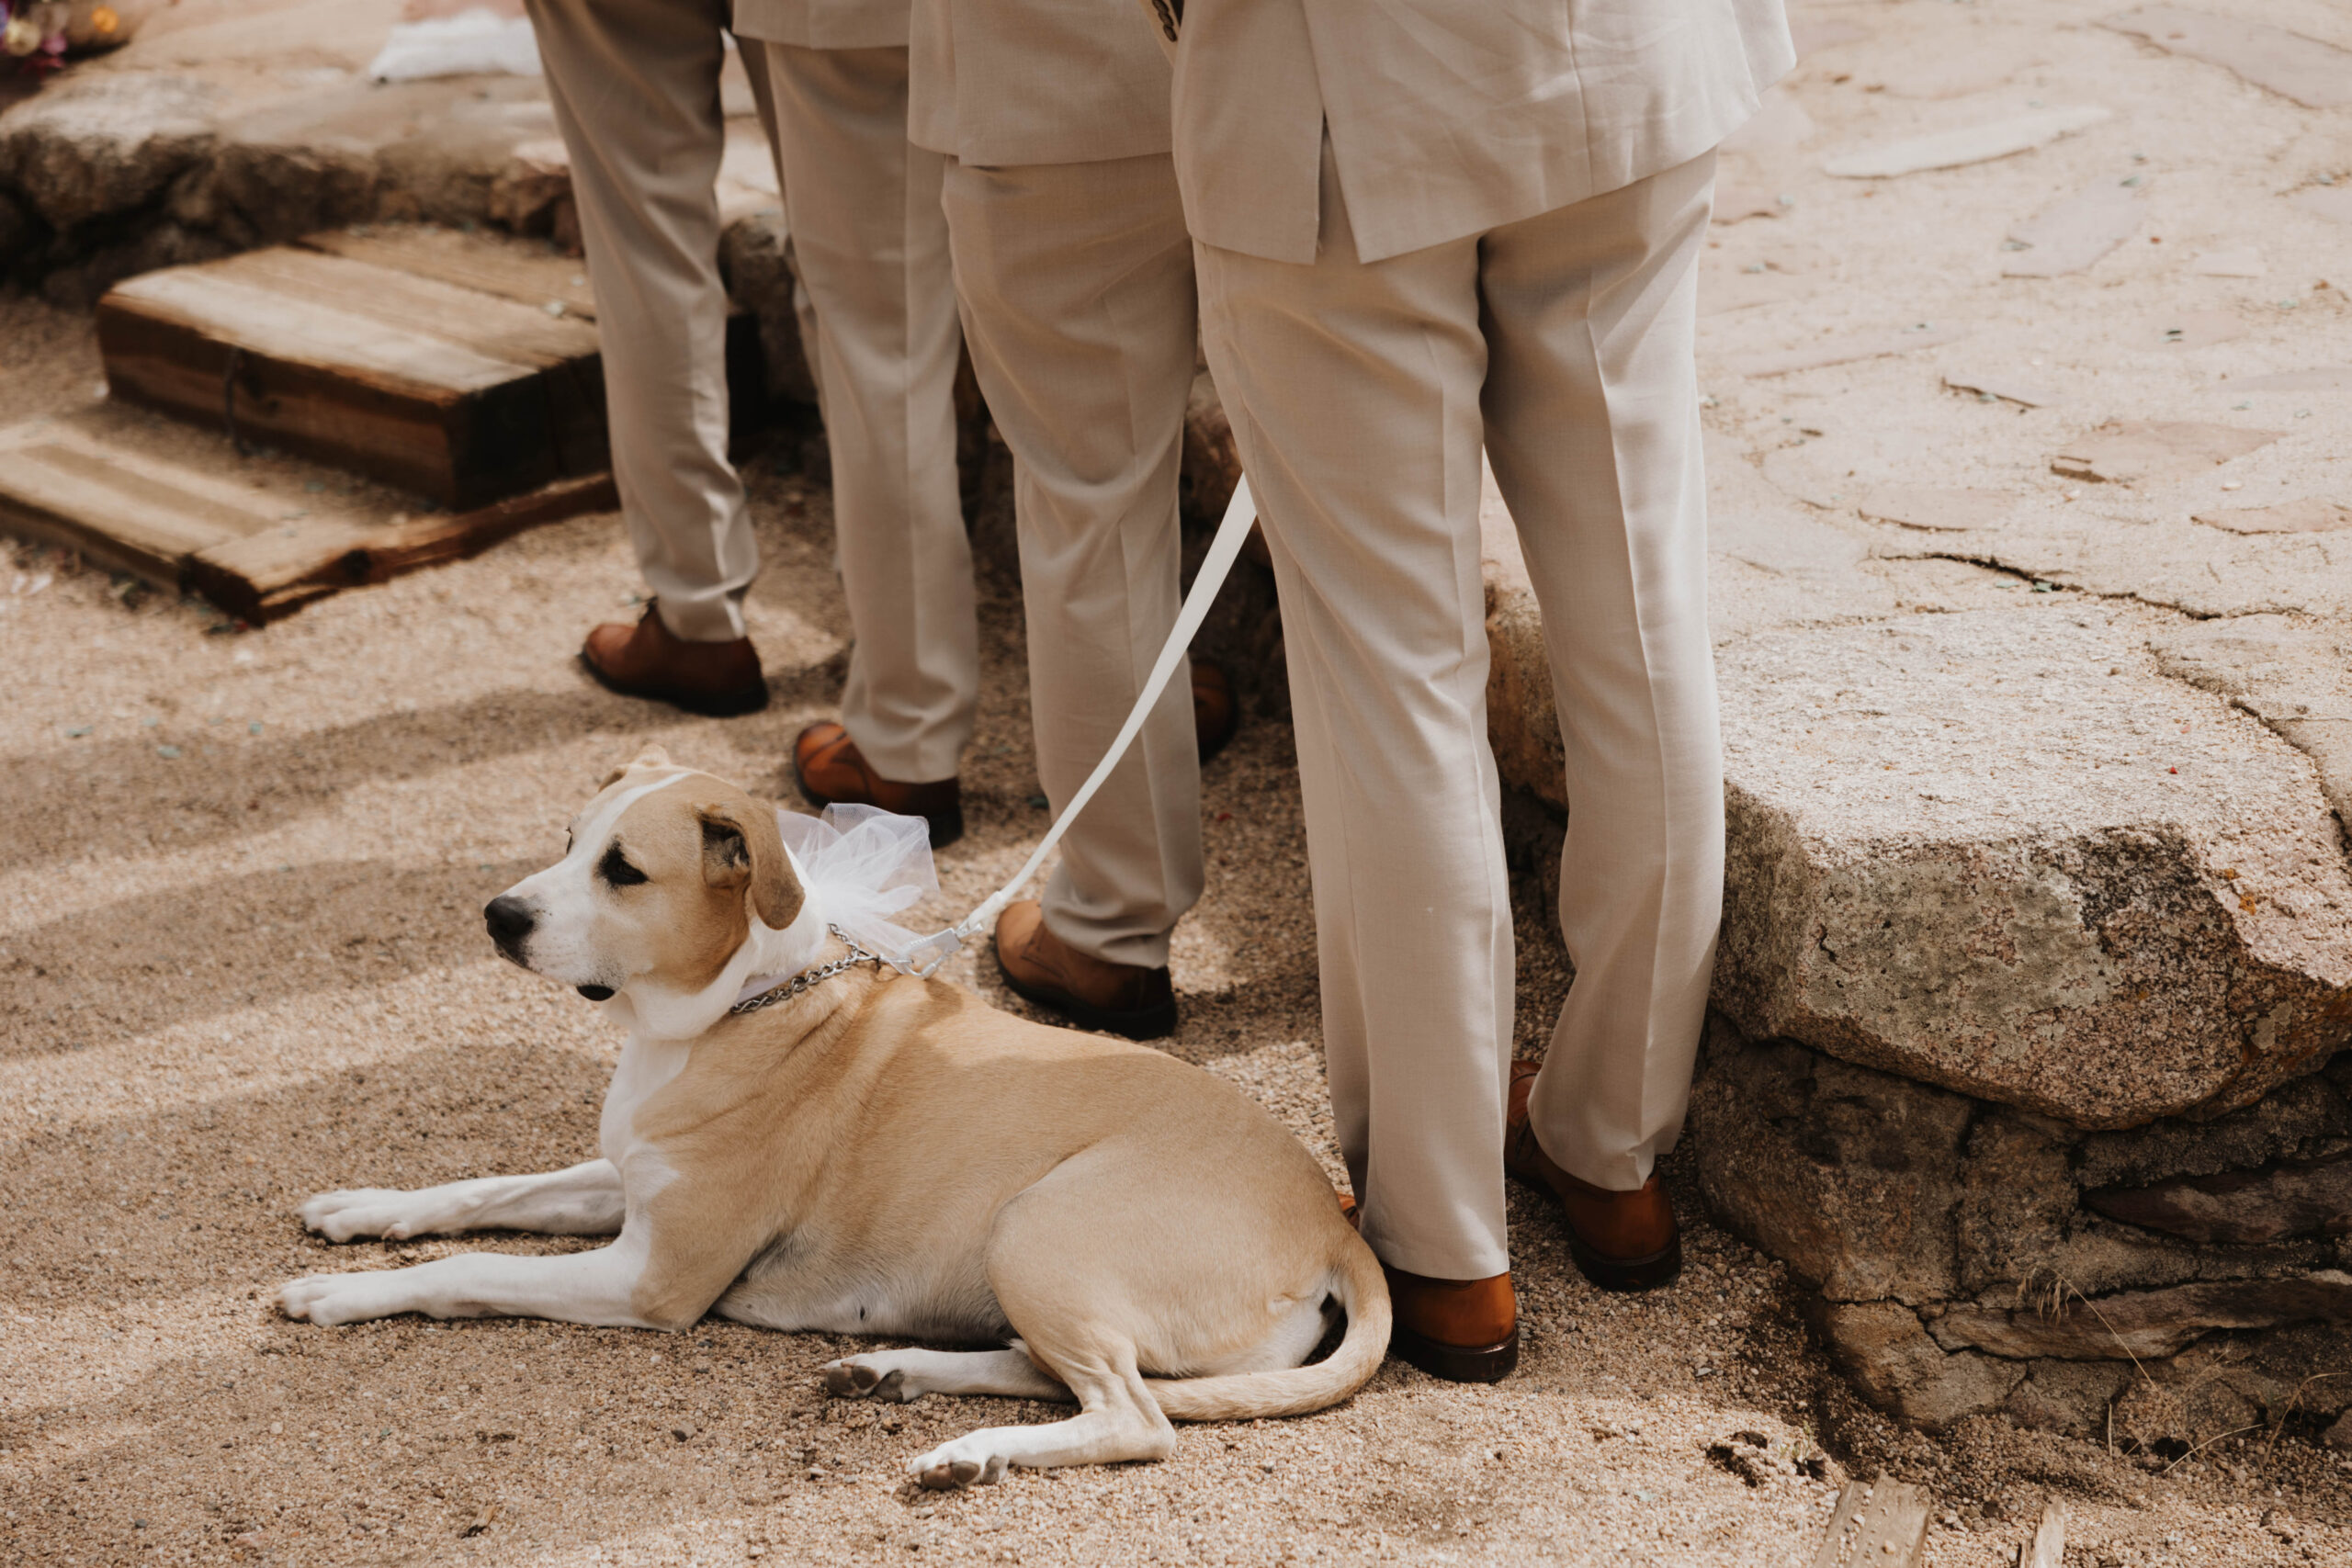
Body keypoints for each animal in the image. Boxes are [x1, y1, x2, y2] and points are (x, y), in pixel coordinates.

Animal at [277, 751, 1383, 1495]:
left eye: (623, 869)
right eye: (566, 842)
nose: (498, 916)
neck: (733, 1006)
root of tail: (1334, 1225)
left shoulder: (651, 1277)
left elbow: (469, 1267)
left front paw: (342, 1293)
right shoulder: (622, 1180)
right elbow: (482, 1190)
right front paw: (360, 1209)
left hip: (1037, 1224)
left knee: (1134, 1416)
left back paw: (969, 1449)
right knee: (1057, 1374)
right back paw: (893, 1371)